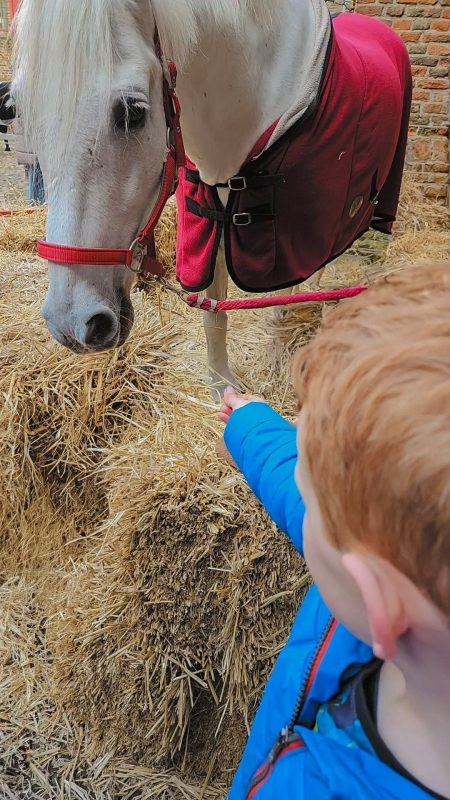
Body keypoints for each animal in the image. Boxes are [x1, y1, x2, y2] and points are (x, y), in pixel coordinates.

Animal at [12, 0, 410, 396]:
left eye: (133, 113)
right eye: (19, 110)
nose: (72, 325)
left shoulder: (297, 223)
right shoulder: (209, 224)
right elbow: (213, 312)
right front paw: (221, 386)